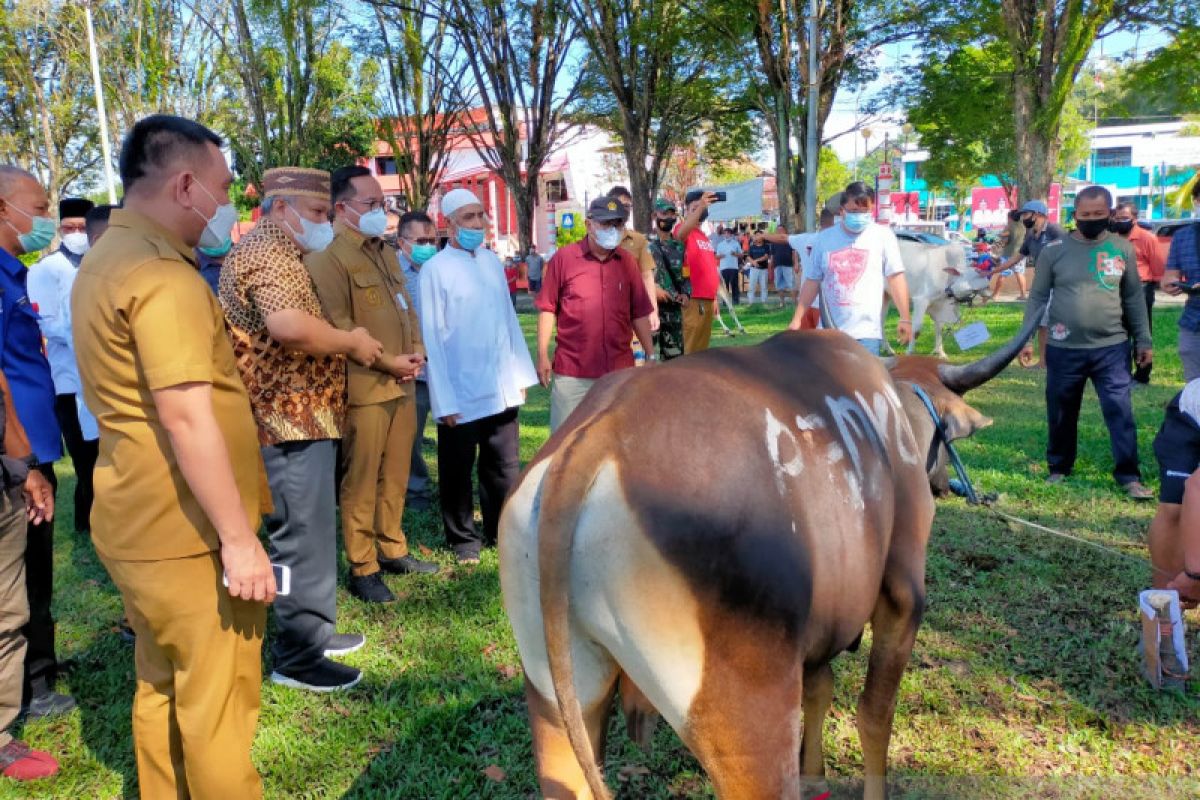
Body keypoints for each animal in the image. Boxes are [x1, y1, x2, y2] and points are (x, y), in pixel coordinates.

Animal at [496, 309, 1041, 800]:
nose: (942, 483)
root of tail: (594, 440)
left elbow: (821, 690)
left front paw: (817, 777)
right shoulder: (902, 594)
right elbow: (874, 713)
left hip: (557, 701)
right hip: (749, 726)